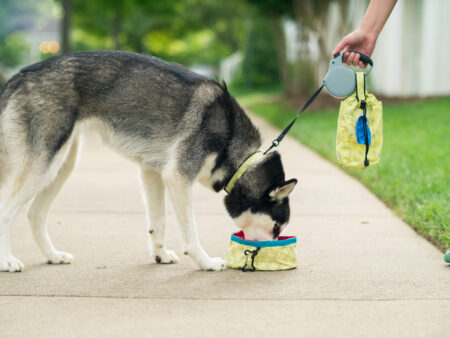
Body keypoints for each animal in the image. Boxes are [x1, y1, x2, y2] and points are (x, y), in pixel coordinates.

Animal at [0, 50, 298, 272]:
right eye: (276, 226)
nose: (263, 252)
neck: (231, 141)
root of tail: (20, 75)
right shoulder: (178, 177)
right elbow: (190, 233)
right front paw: (205, 262)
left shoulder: (153, 172)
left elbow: (159, 221)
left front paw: (160, 254)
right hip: (44, 165)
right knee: (6, 212)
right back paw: (7, 261)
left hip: (61, 164)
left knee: (35, 214)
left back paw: (52, 255)